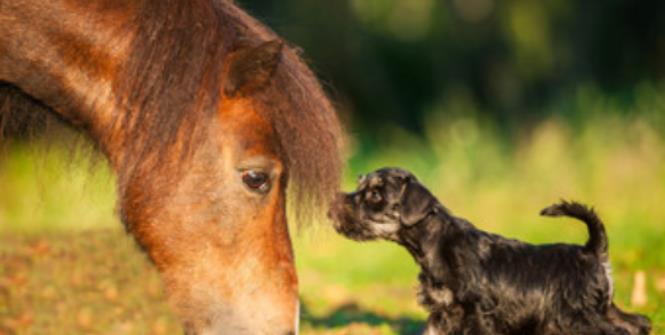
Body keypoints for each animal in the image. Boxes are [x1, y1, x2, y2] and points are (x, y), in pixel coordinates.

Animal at [330, 168, 652, 335]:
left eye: (375, 194)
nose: (332, 208)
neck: (435, 244)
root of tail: (592, 250)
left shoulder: (477, 314)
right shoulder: (441, 314)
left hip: (575, 317)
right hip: (602, 309)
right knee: (638, 323)